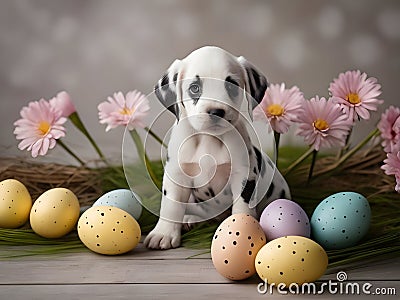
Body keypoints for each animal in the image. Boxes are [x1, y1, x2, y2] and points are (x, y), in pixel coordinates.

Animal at [145, 46, 290, 248]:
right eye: (195, 88)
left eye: (231, 86)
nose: (216, 111)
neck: (208, 140)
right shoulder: (176, 176)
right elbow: (170, 206)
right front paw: (163, 233)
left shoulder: (243, 177)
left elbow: (242, 209)